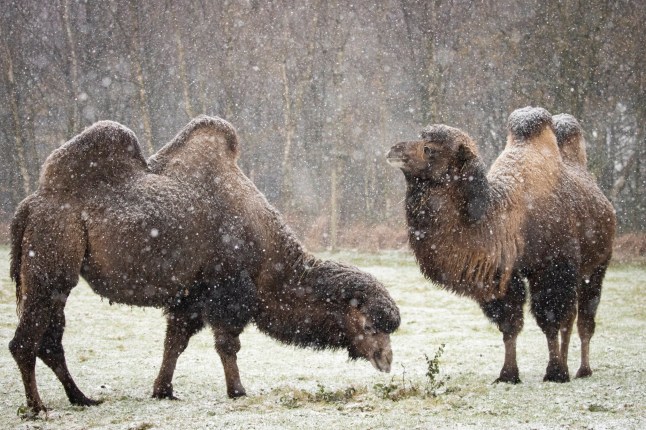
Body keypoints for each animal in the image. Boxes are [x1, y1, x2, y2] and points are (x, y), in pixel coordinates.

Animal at [11, 115, 400, 414]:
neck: (269, 260)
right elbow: (227, 344)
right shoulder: (226, 289)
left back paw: (81, 398)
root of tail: (30, 205)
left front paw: (163, 390)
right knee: (26, 341)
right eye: (369, 325)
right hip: (51, 261)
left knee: (51, 340)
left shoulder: (191, 295)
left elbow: (175, 341)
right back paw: (38, 406)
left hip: (52, 275)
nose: (386, 360)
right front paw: (238, 391)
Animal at [390, 106, 616, 382]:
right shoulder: (503, 276)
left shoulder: (552, 268)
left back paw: (583, 370)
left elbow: (551, 320)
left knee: (584, 318)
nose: (394, 150)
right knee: (572, 317)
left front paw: (555, 372)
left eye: (430, 149)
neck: (507, 219)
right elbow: (510, 325)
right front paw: (508, 374)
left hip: (597, 265)